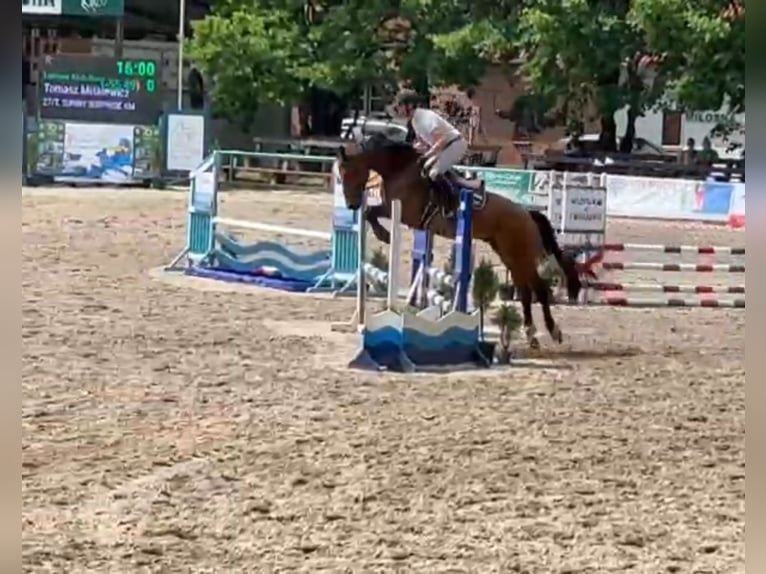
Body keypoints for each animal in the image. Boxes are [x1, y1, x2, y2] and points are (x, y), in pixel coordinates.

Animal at [340, 136, 584, 352]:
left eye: (348, 172)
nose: (351, 205)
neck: (398, 170)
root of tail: (527, 214)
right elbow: (370, 212)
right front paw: (382, 233)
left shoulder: (405, 211)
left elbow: (372, 212)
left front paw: (384, 234)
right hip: (509, 255)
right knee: (525, 292)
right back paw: (531, 334)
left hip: (520, 254)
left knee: (540, 290)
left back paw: (553, 332)